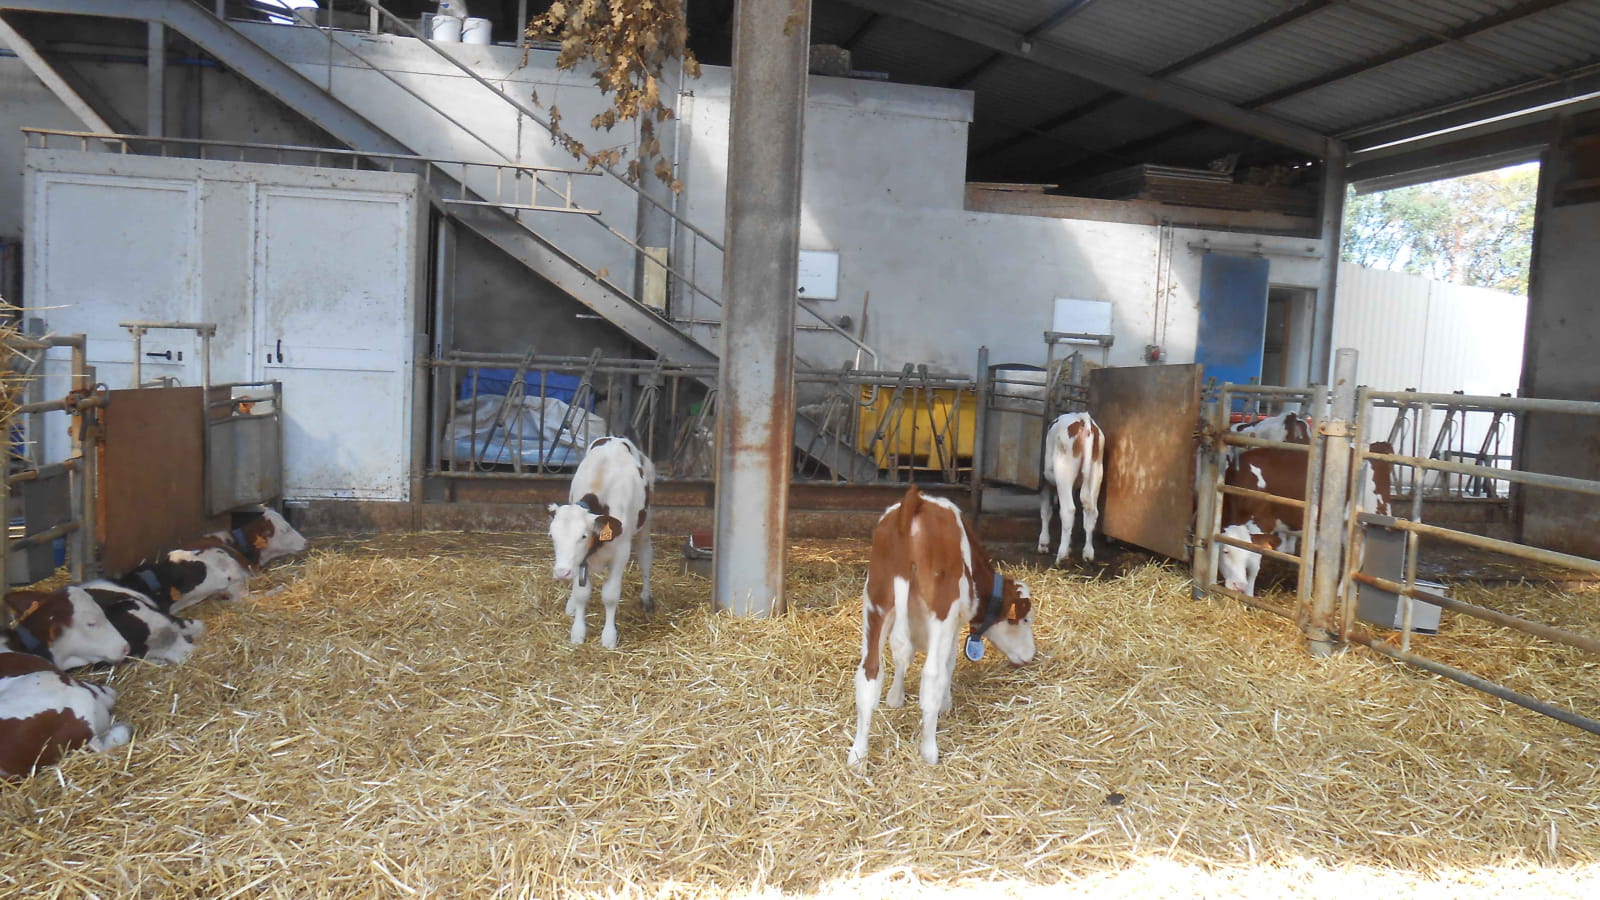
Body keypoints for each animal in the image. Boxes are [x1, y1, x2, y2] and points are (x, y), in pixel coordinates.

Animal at [547, 435, 652, 643]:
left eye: (583, 536)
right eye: (552, 536)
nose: (562, 572)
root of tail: (614, 438)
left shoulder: (621, 552)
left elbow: (610, 595)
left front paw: (609, 636)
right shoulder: (580, 559)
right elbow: (581, 593)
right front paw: (578, 632)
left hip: (645, 523)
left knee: (645, 556)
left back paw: (646, 597)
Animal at [851, 483, 1036, 762]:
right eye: (1024, 619)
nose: (1031, 655)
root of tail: (914, 504)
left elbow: (900, 661)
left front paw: (895, 698)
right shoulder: (953, 622)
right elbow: (949, 662)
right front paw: (945, 706)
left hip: (875, 604)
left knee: (869, 672)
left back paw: (857, 755)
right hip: (940, 610)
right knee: (931, 675)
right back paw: (929, 751)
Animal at [1036, 408, 1100, 560]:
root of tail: (1083, 418)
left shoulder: (1046, 483)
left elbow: (1045, 512)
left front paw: (1043, 543)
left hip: (1063, 472)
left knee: (1068, 510)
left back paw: (1062, 555)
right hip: (1096, 472)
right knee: (1092, 512)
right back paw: (1088, 553)